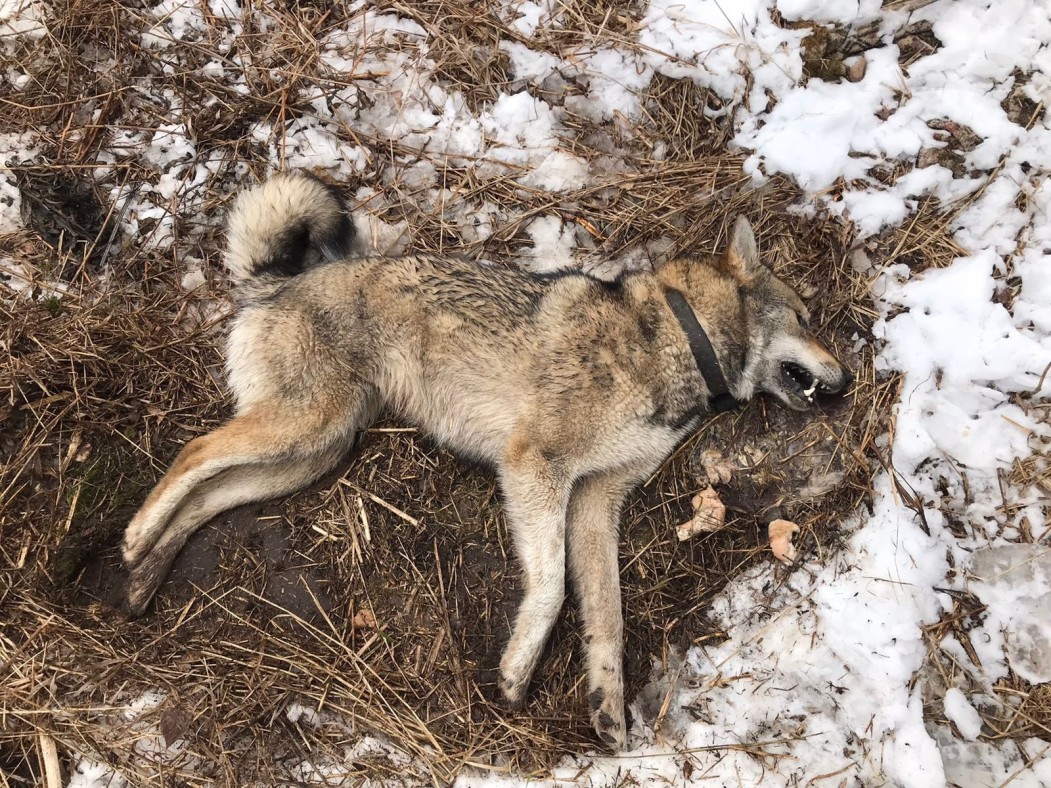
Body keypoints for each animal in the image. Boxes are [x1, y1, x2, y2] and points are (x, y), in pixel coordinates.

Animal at [120, 172, 853, 752]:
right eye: (805, 317)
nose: (846, 380)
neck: (676, 336)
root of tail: (276, 284)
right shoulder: (535, 468)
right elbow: (551, 589)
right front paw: (516, 671)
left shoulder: (595, 502)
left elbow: (607, 622)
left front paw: (608, 713)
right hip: (303, 430)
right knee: (193, 451)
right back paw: (133, 538)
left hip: (311, 453)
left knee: (206, 495)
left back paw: (143, 579)